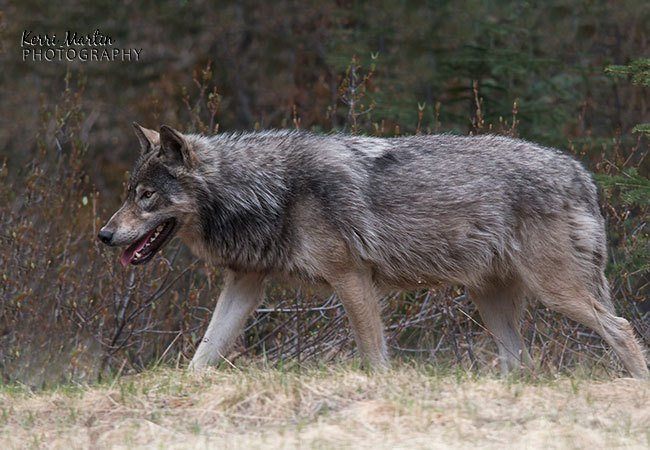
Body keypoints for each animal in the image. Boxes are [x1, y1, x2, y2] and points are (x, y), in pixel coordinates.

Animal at [98, 124, 648, 378]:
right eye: (129, 193)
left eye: (146, 197)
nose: (103, 235)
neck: (265, 190)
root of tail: (582, 173)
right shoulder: (246, 283)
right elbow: (204, 352)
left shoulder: (352, 278)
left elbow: (373, 356)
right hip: (489, 301)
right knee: (523, 361)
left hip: (557, 293)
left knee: (622, 327)